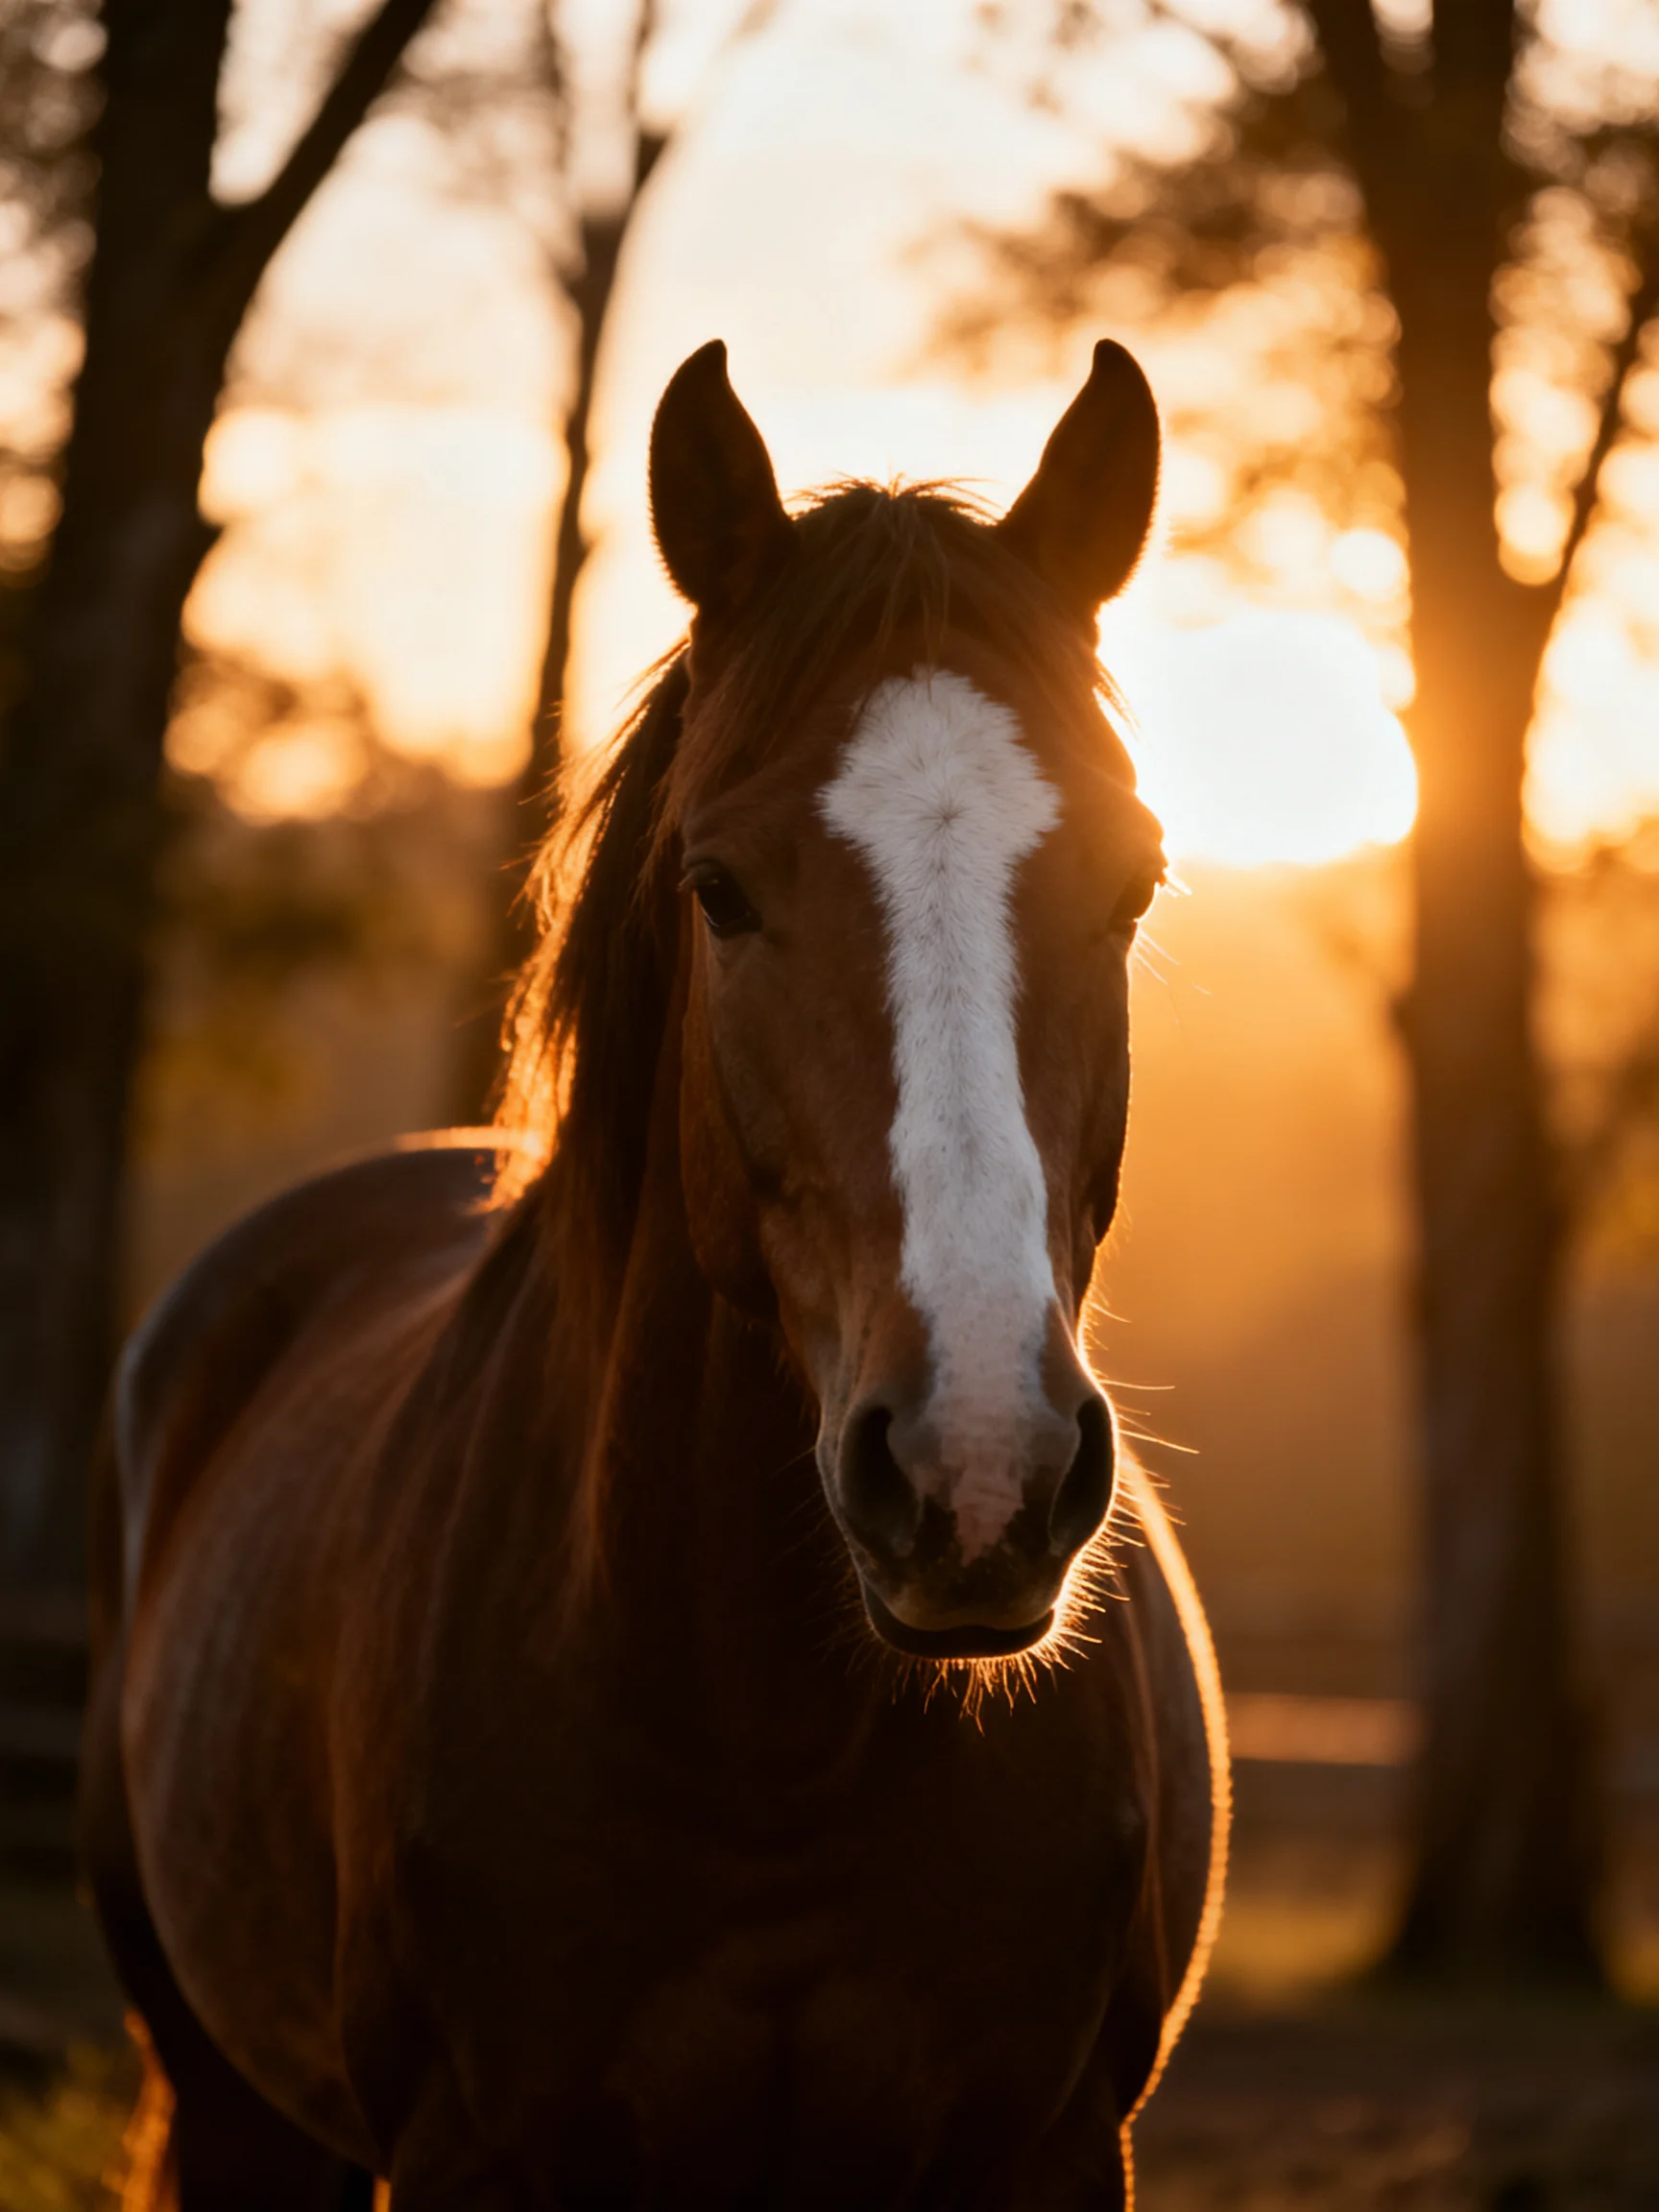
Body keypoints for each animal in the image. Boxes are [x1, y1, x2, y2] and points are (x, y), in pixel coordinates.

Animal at [81, 337, 1228, 2210]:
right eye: (720, 887)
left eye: (1132, 882)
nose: (976, 1471)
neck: (765, 1744)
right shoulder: (471, 2145)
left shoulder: (1053, 2146)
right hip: (241, 2112)